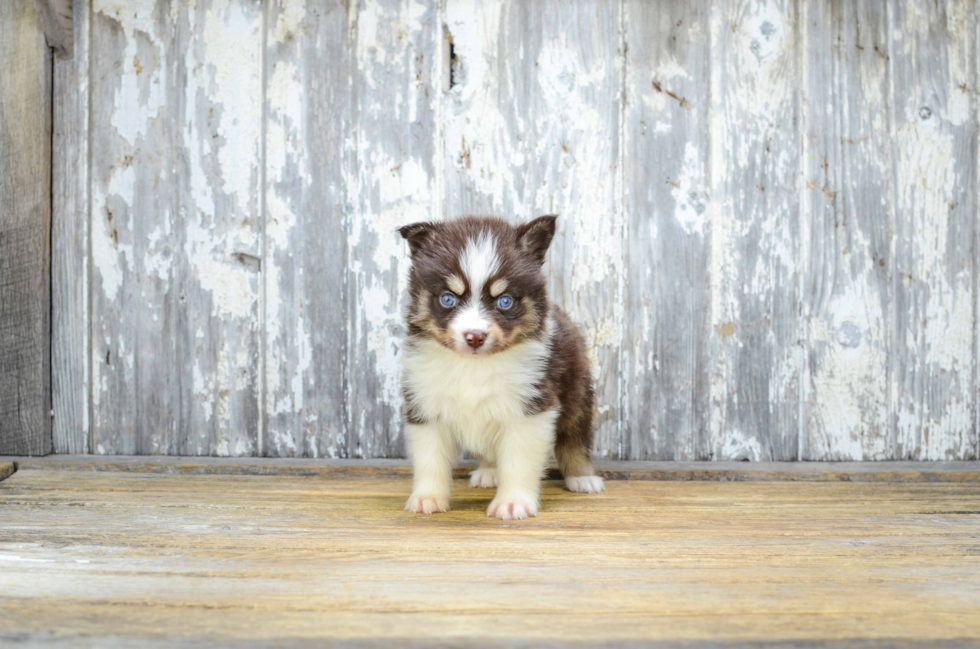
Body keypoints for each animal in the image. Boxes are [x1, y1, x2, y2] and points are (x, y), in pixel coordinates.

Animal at [400, 215, 604, 520]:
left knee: (574, 437)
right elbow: (430, 459)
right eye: (448, 298)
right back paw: (489, 471)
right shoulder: (425, 404)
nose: (474, 336)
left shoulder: (531, 407)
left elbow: (519, 461)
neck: (474, 366)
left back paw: (583, 477)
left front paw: (512, 503)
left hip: (577, 390)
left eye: (504, 301)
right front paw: (427, 498)